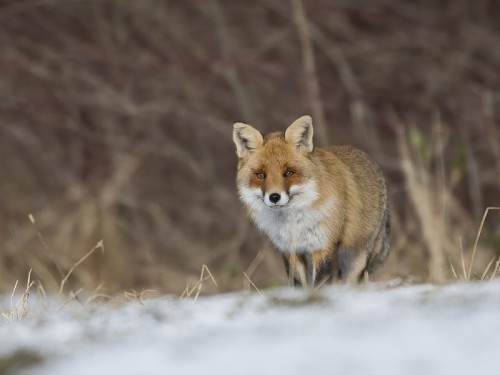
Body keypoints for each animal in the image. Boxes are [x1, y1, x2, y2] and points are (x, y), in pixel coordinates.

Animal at [232, 116, 388, 286]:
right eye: (260, 175)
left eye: (289, 173)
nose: (274, 197)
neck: (294, 224)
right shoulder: (290, 249)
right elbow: (299, 284)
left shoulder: (323, 246)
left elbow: (320, 282)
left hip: (356, 259)